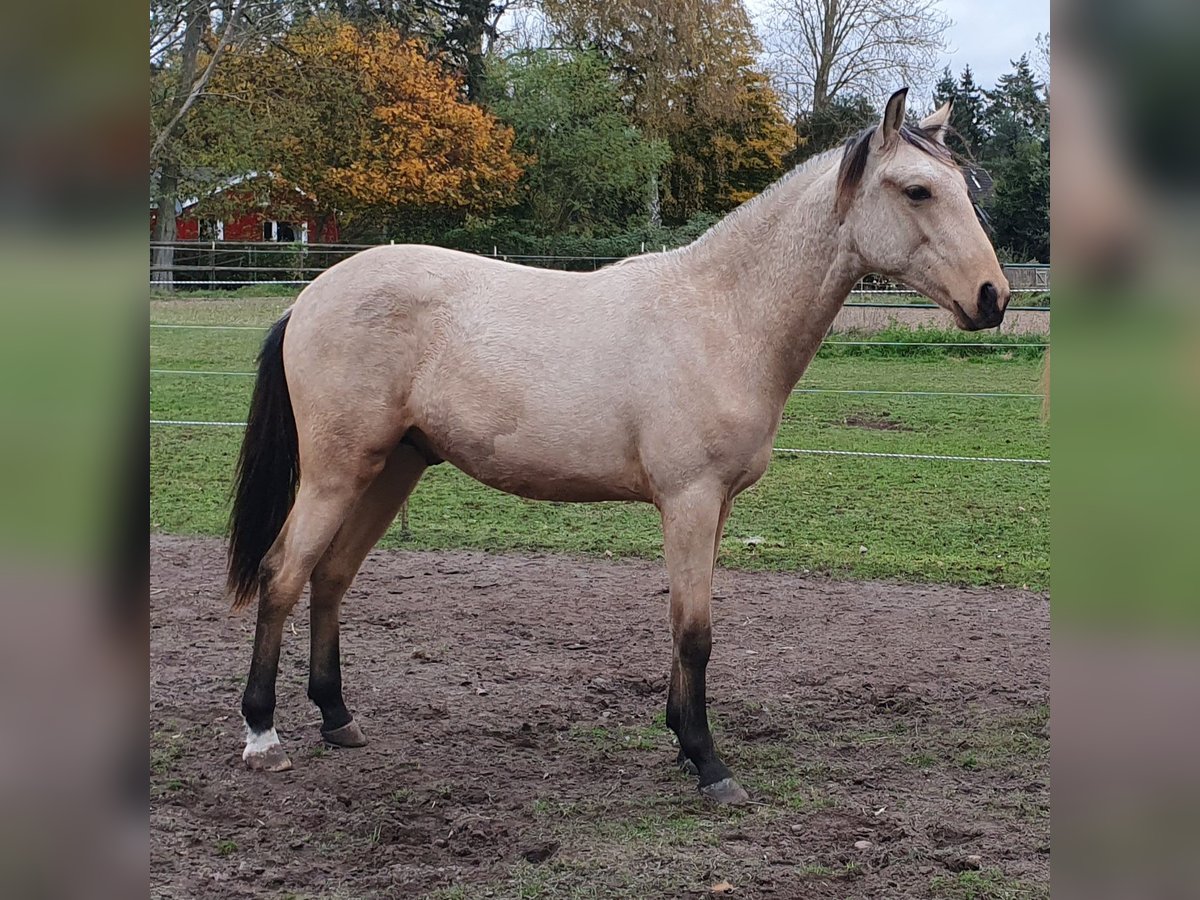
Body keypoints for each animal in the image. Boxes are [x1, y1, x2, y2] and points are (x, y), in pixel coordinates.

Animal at [226, 90, 1012, 801]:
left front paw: (681, 742)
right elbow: (694, 631)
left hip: (392, 468)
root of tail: (310, 298)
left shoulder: (715, 507)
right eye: (917, 189)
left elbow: (683, 625)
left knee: (331, 578)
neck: (721, 316)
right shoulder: (689, 500)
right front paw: (709, 763)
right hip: (336, 472)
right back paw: (263, 736)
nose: (993, 297)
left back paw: (337, 717)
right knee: (282, 575)